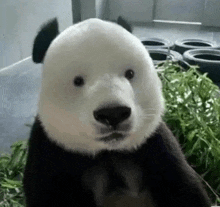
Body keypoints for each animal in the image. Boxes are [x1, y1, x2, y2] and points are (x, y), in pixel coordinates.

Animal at [22, 17, 211, 206]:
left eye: (130, 73)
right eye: (78, 81)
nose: (113, 114)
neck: (108, 151)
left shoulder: (155, 144)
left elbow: (185, 188)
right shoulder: (50, 151)